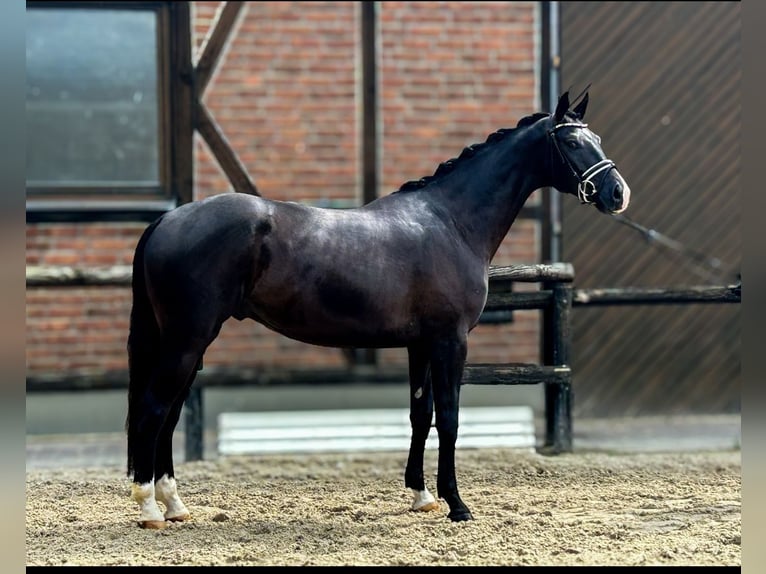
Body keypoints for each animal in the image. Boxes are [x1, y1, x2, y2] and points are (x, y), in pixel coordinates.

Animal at [124, 91, 632, 532]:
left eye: (597, 138)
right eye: (571, 142)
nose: (617, 193)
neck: (450, 221)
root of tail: (168, 219)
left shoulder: (419, 345)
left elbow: (420, 414)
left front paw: (422, 496)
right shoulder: (450, 341)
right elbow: (450, 418)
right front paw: (457, 504)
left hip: (188, 344)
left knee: (169, 415)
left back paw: (174, 505)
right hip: (187, 340)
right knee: (154, 409)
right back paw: (149, 508)